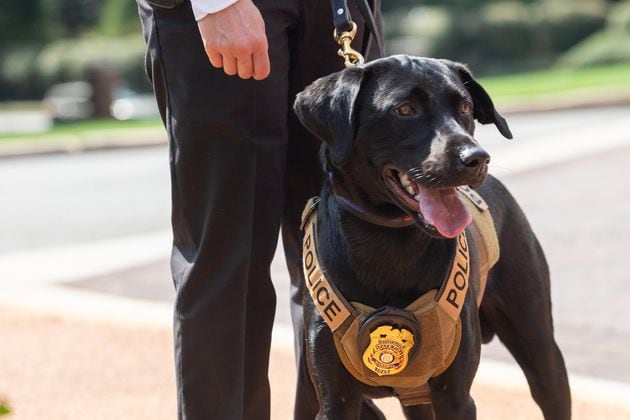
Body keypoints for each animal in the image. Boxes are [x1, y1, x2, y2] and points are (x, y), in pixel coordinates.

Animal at [296, 54, 572, 418]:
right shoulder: (335, 400)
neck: (389, 245)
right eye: (404, 109)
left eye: (465, 106)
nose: (477, 158)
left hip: (538, 344)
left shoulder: (455, 396)